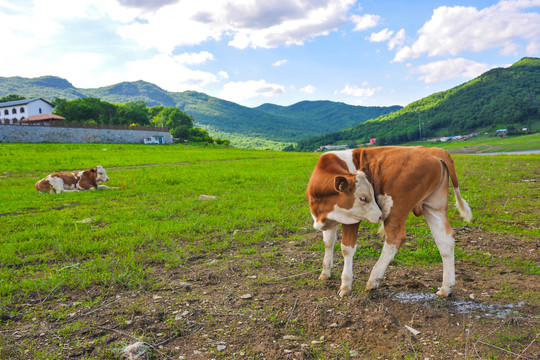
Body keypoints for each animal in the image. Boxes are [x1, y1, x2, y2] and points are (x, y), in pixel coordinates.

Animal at [308, 146, 472, 298]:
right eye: (363, 198)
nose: (380, 216)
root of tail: (434, 150)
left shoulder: (352, 221)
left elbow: (346, 249)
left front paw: (345, 286)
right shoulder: (330, 219)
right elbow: (328, 242)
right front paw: (325, 273)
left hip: (396, 208)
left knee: (394, 239)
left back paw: (373, 280)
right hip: (434, 206)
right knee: (445, 239)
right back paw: (445, 288)